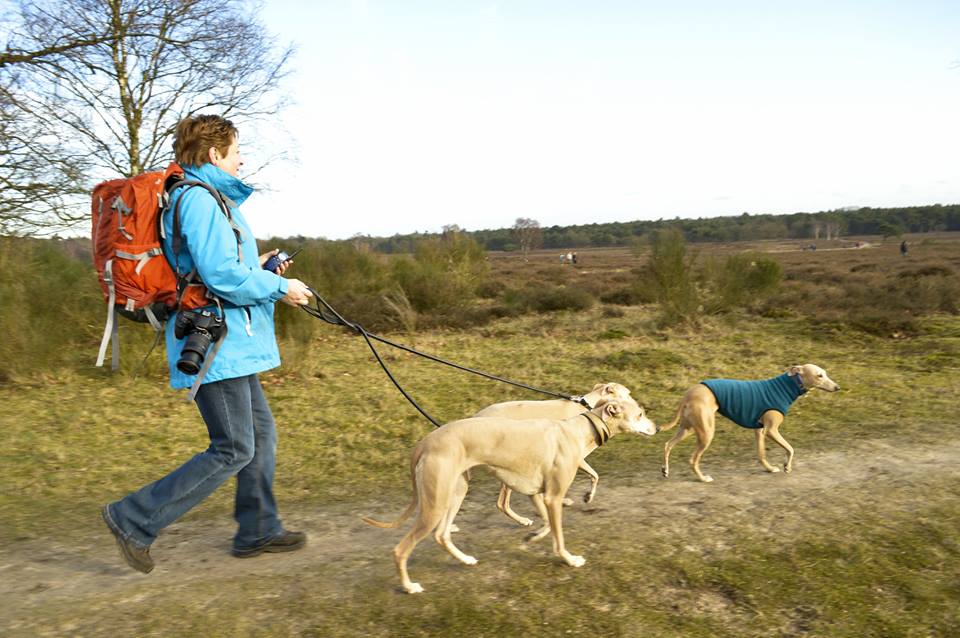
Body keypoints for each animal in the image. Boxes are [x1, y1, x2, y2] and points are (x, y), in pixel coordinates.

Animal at [472, 382, 633, 526]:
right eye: (628, 394)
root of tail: (476, 416)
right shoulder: (574, 458)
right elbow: (595, 475)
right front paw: (587, 497)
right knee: (502, 503)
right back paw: (523, 520)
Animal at [660, 364, 840, 482]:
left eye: (825, 373)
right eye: (819, 375)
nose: (837, 387)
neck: (785, 387)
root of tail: (690, 392)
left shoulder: (759, 430)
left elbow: (761, 454)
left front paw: (769, 468)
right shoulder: (771, 430)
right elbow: (790, 448)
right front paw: (787, 466)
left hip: (688, 428)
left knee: (668, 444)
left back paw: (665, 470)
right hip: (706, 433)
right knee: (692, 459)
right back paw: (703, 478)